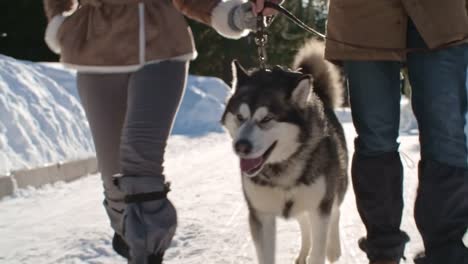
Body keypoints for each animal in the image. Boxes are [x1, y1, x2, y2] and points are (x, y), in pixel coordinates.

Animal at [222, 39, 348, 264]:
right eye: (239, 117)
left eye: (266, 119)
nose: (241, 146)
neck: (283, 168)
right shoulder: (261, 215)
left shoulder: (320, 210)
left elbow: (319, 250)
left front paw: (325, 250)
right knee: (304, 224)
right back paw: (302, 254)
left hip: (335, 190)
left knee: (335, 213)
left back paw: (333, 248)